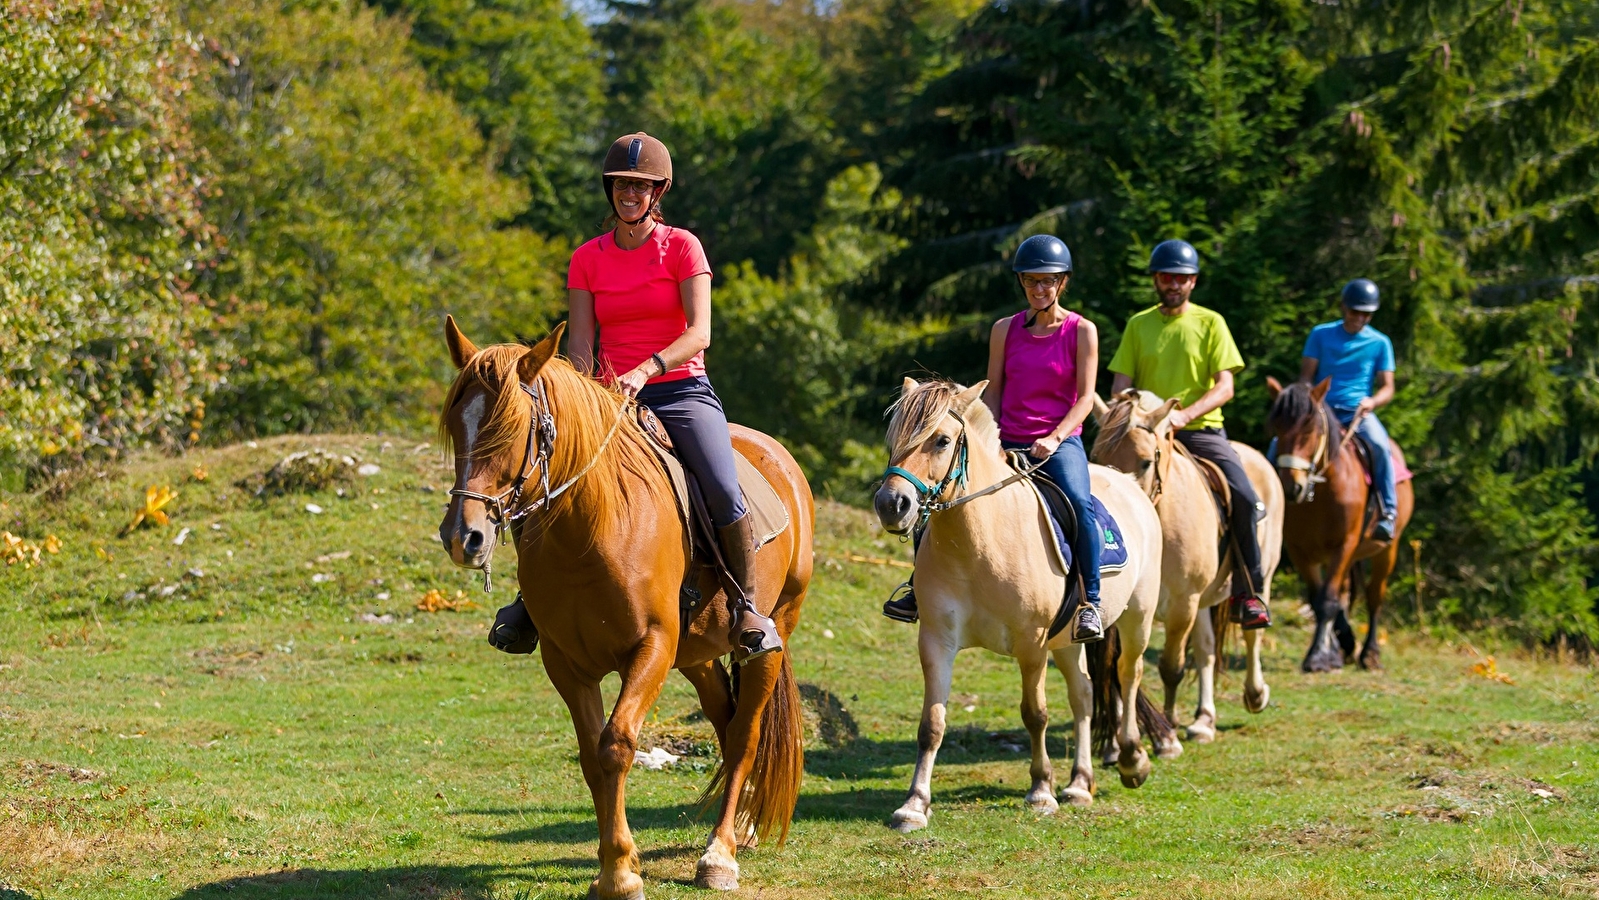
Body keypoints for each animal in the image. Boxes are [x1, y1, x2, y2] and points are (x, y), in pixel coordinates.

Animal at [438, 319, 812, 895]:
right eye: (459, 425)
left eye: (514, 428)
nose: (465, 537)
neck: (591, 529)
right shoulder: (566, 662)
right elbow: (592, 756)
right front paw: (614, 866)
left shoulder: (650, 648)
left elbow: (615, 745)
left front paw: (620, 874)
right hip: (697, 654)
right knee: (725, 724)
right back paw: (743, 827)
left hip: (771, 635)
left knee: (745, 734)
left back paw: (721, 853)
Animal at [876, 375, 1164, 831]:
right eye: (894, 438)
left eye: (942, 440)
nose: (892, 505)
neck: (979, 543)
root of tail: (1128, 483)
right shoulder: (937, 641)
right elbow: (932, 723)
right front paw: (914, 805)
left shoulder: (1032, 645)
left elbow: (1035, 714)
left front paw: (1041, 791)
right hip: (1068, 641)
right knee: (1083, 695)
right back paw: (1080, 783)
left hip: (1137, 619)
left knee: (1129, 675)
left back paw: (1133, 760)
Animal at [1087, 391, 1285, 741]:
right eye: (1096, 455)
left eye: (1145, 461)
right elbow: (1119, 666)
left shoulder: (1183, 604)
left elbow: (1170, 667)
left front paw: (1167, 728)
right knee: (1206, 650)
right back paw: (1204, 719)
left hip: (1262, 576)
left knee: (1252, 636)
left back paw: (1255, 694)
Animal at [1260, 377, 1413, 671]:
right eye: (1276, 427)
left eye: (1310, 429)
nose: (1291, 486)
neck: (1322, 491)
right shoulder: (1299, 550)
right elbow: (1319, 597)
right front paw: (1334, 649)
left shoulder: (1344, 545)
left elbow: (1328, 599)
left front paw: (1318, 656)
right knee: (1345, 594)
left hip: (1387, 549)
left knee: (1375, 596)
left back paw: (1370, 654)